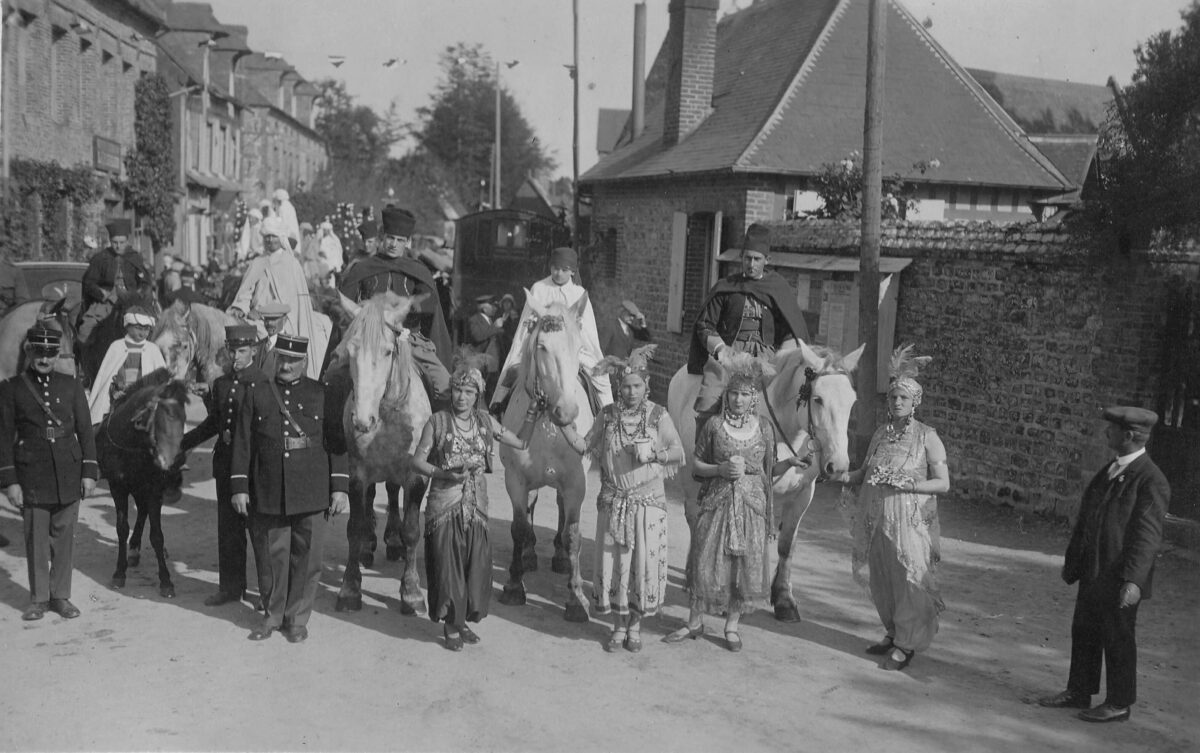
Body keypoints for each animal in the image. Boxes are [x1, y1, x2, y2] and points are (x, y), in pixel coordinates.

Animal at [98, 366, 187, 597]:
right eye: (165, 417)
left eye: (184, 418)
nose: (176, 462)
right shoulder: (117, 487)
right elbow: (121, 528)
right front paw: (119, 573)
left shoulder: (153, 489)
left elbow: (157, 535)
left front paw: (166, 580)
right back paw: (133, 550)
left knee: (144, 511)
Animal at [667, 342, 864, 623]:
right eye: (818, 399)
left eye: (851, 401)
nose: (838, 466)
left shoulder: (803, 495)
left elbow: (786, 545)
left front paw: (783, 598)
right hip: (689, 478)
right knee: (696, 521)